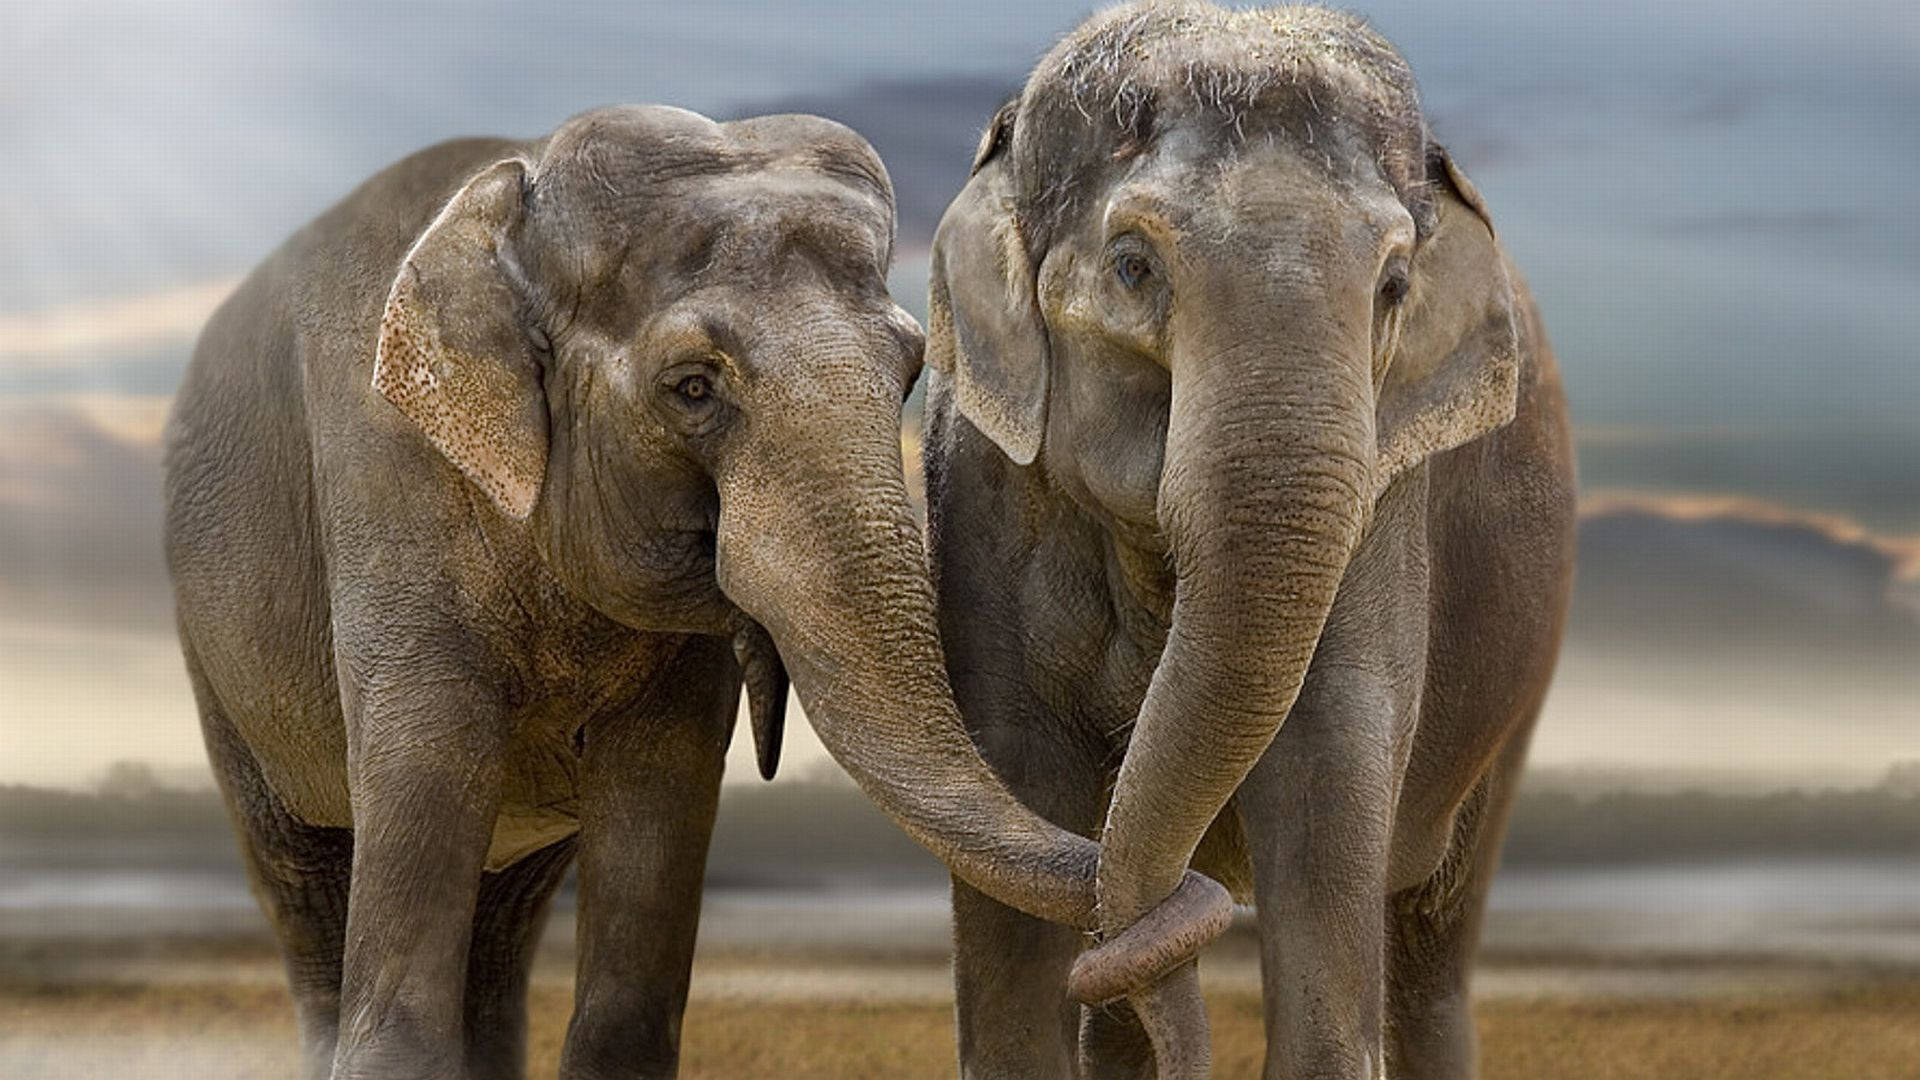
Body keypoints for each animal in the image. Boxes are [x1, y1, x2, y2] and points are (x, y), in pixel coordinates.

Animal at [161, 105, 1213, 1076]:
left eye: (912, 366)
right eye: (693, 388)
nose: (1186, 906)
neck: (518, 199)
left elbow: (658, 805)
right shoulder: (387, 482)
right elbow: (429, 762)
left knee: (501, 925)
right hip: (219, 663)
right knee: (302, 880)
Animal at [925, 4, 1574, 1068]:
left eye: (1394, 285)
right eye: (1134, 266)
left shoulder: (1385, 508)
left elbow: (1325, 778)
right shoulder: (983, 494)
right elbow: (1016, 804)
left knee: (1433, 940)